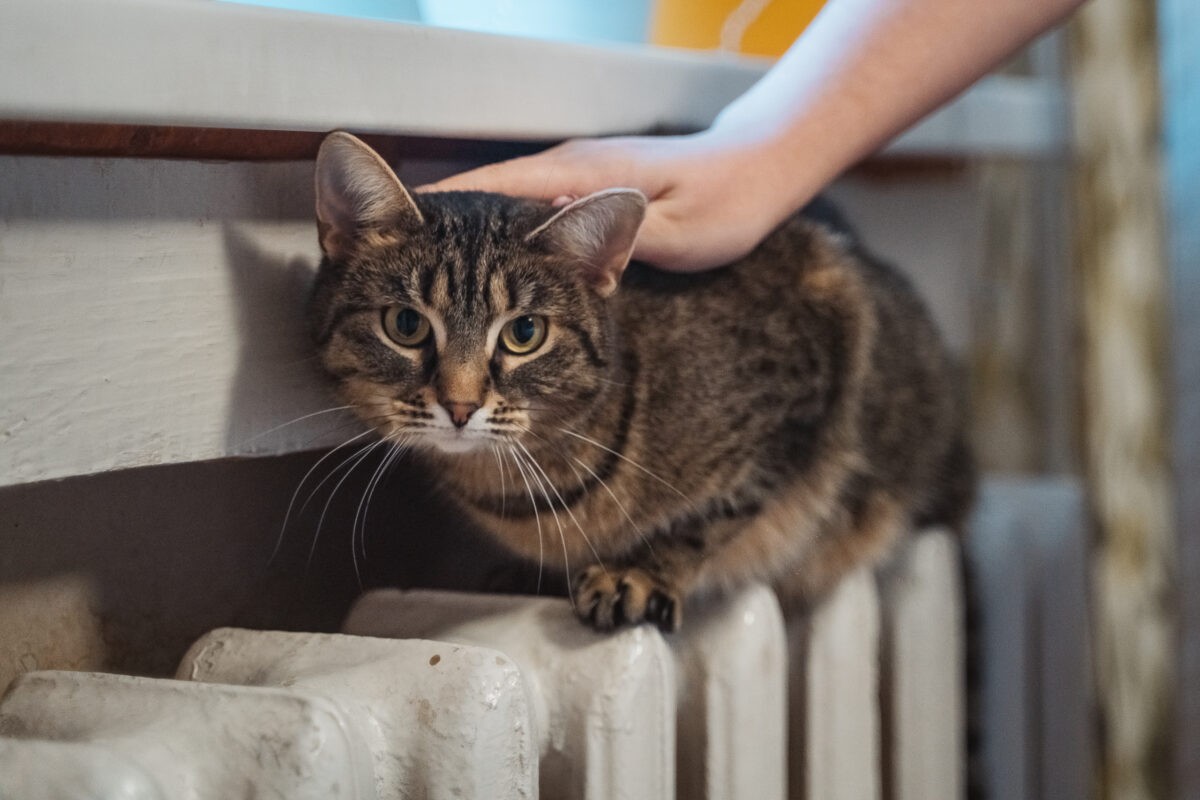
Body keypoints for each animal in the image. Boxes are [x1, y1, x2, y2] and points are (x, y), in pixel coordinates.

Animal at [304, 131, 969, 633]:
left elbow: (711, 516)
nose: (460, 405)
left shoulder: (809, 375)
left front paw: (642, 572)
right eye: (406, 324)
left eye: (524, 333)